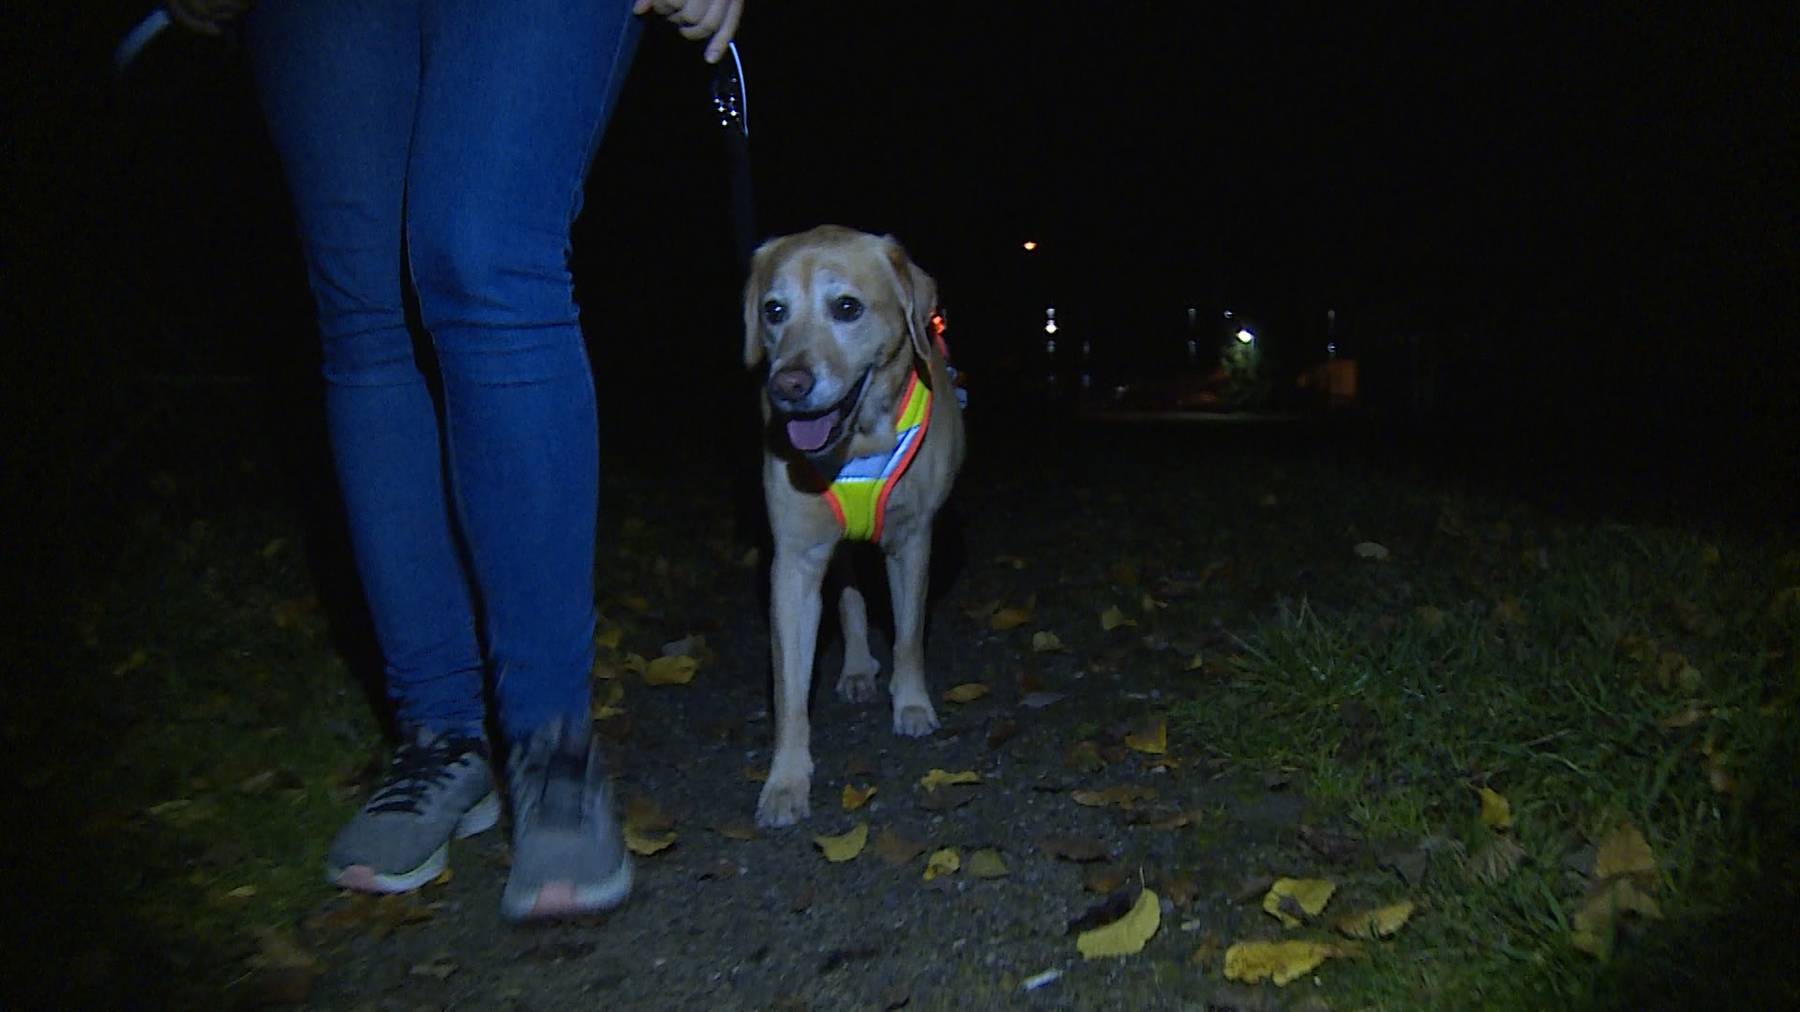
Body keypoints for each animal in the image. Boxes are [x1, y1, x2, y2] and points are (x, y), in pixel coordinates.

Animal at [738, 224, 964, 824]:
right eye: (773, 310)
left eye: (846, 307)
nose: (788, 385)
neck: (857, 441)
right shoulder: (794, 564)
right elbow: (790, 689)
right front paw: (786, 779)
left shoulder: (912, 542)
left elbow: (908, 636)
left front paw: (912, 705)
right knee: (849, 595)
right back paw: (859, 666)